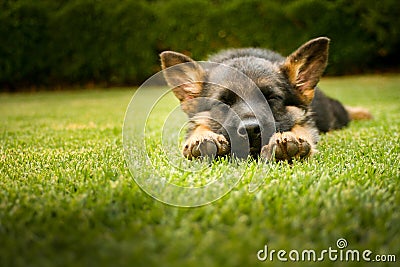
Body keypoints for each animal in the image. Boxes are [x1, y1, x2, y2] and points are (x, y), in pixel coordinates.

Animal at [159, 37, 372, 163]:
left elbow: (300, 127)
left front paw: (292, 138)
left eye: (272, 98)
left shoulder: (305, 120)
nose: (250, 130)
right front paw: (202, 137)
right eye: (223, 102)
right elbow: (200, 126)